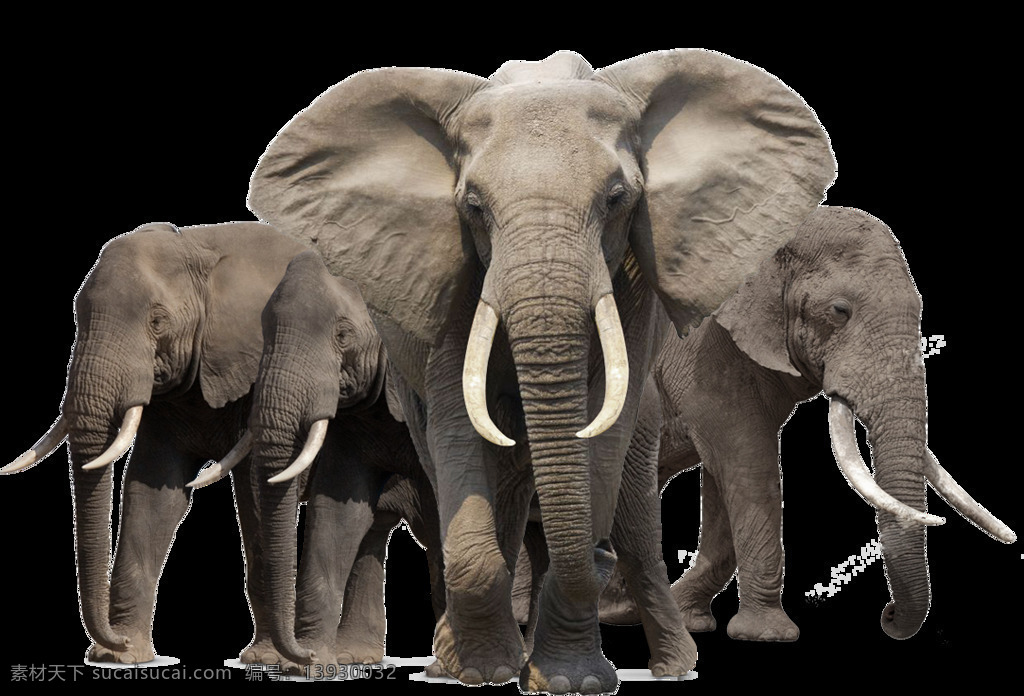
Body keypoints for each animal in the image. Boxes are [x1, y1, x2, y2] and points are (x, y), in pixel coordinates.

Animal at [2, 221, 307, 664]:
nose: (111, 640)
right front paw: (120, 655)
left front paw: (268, 660)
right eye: (77, 314)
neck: (203, 247)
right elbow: (153, 492)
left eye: (158, 322)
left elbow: (257, 490)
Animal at [189, 249, 445, 670]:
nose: (301, 653)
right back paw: (355, 655)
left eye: (343, 336)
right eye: (264, 334)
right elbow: (338, 511)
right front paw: (310, 666)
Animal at [246, 49, 836, 693]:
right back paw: (457, 662)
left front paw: (568, 681)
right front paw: (485, 672)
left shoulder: (633, 286)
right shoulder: (452, 277)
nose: (599, 555)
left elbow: (602, 425)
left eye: (617, 199)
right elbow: (460, 424)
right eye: (473, 207)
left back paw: (665, 665)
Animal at [592, 206, 1016, 641]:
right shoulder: (702, 351)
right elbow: (747, 467)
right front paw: (767, 636)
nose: (889, 614)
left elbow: (724, 481)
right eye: (840, 311)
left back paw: (619, 612)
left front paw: (692, 620)